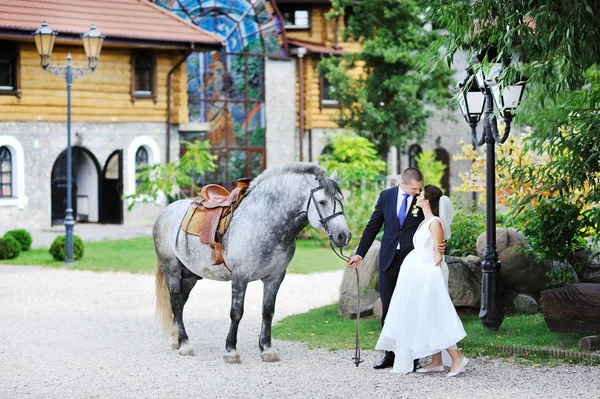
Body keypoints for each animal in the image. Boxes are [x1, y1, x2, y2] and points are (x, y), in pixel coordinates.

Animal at [154, 162, 352, 362]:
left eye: (340, 199)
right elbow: (236, 312)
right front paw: (231, 351)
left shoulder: (275, 278)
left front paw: (267, 349)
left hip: (190, 275)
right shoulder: (240, 277)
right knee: (176, 303)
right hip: (171, 270)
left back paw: (177, 341)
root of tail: (166, 211)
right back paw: (185, 345)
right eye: (322, 202)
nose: (344, 236)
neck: (264, 222)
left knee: (181, 303)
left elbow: (268, 311)